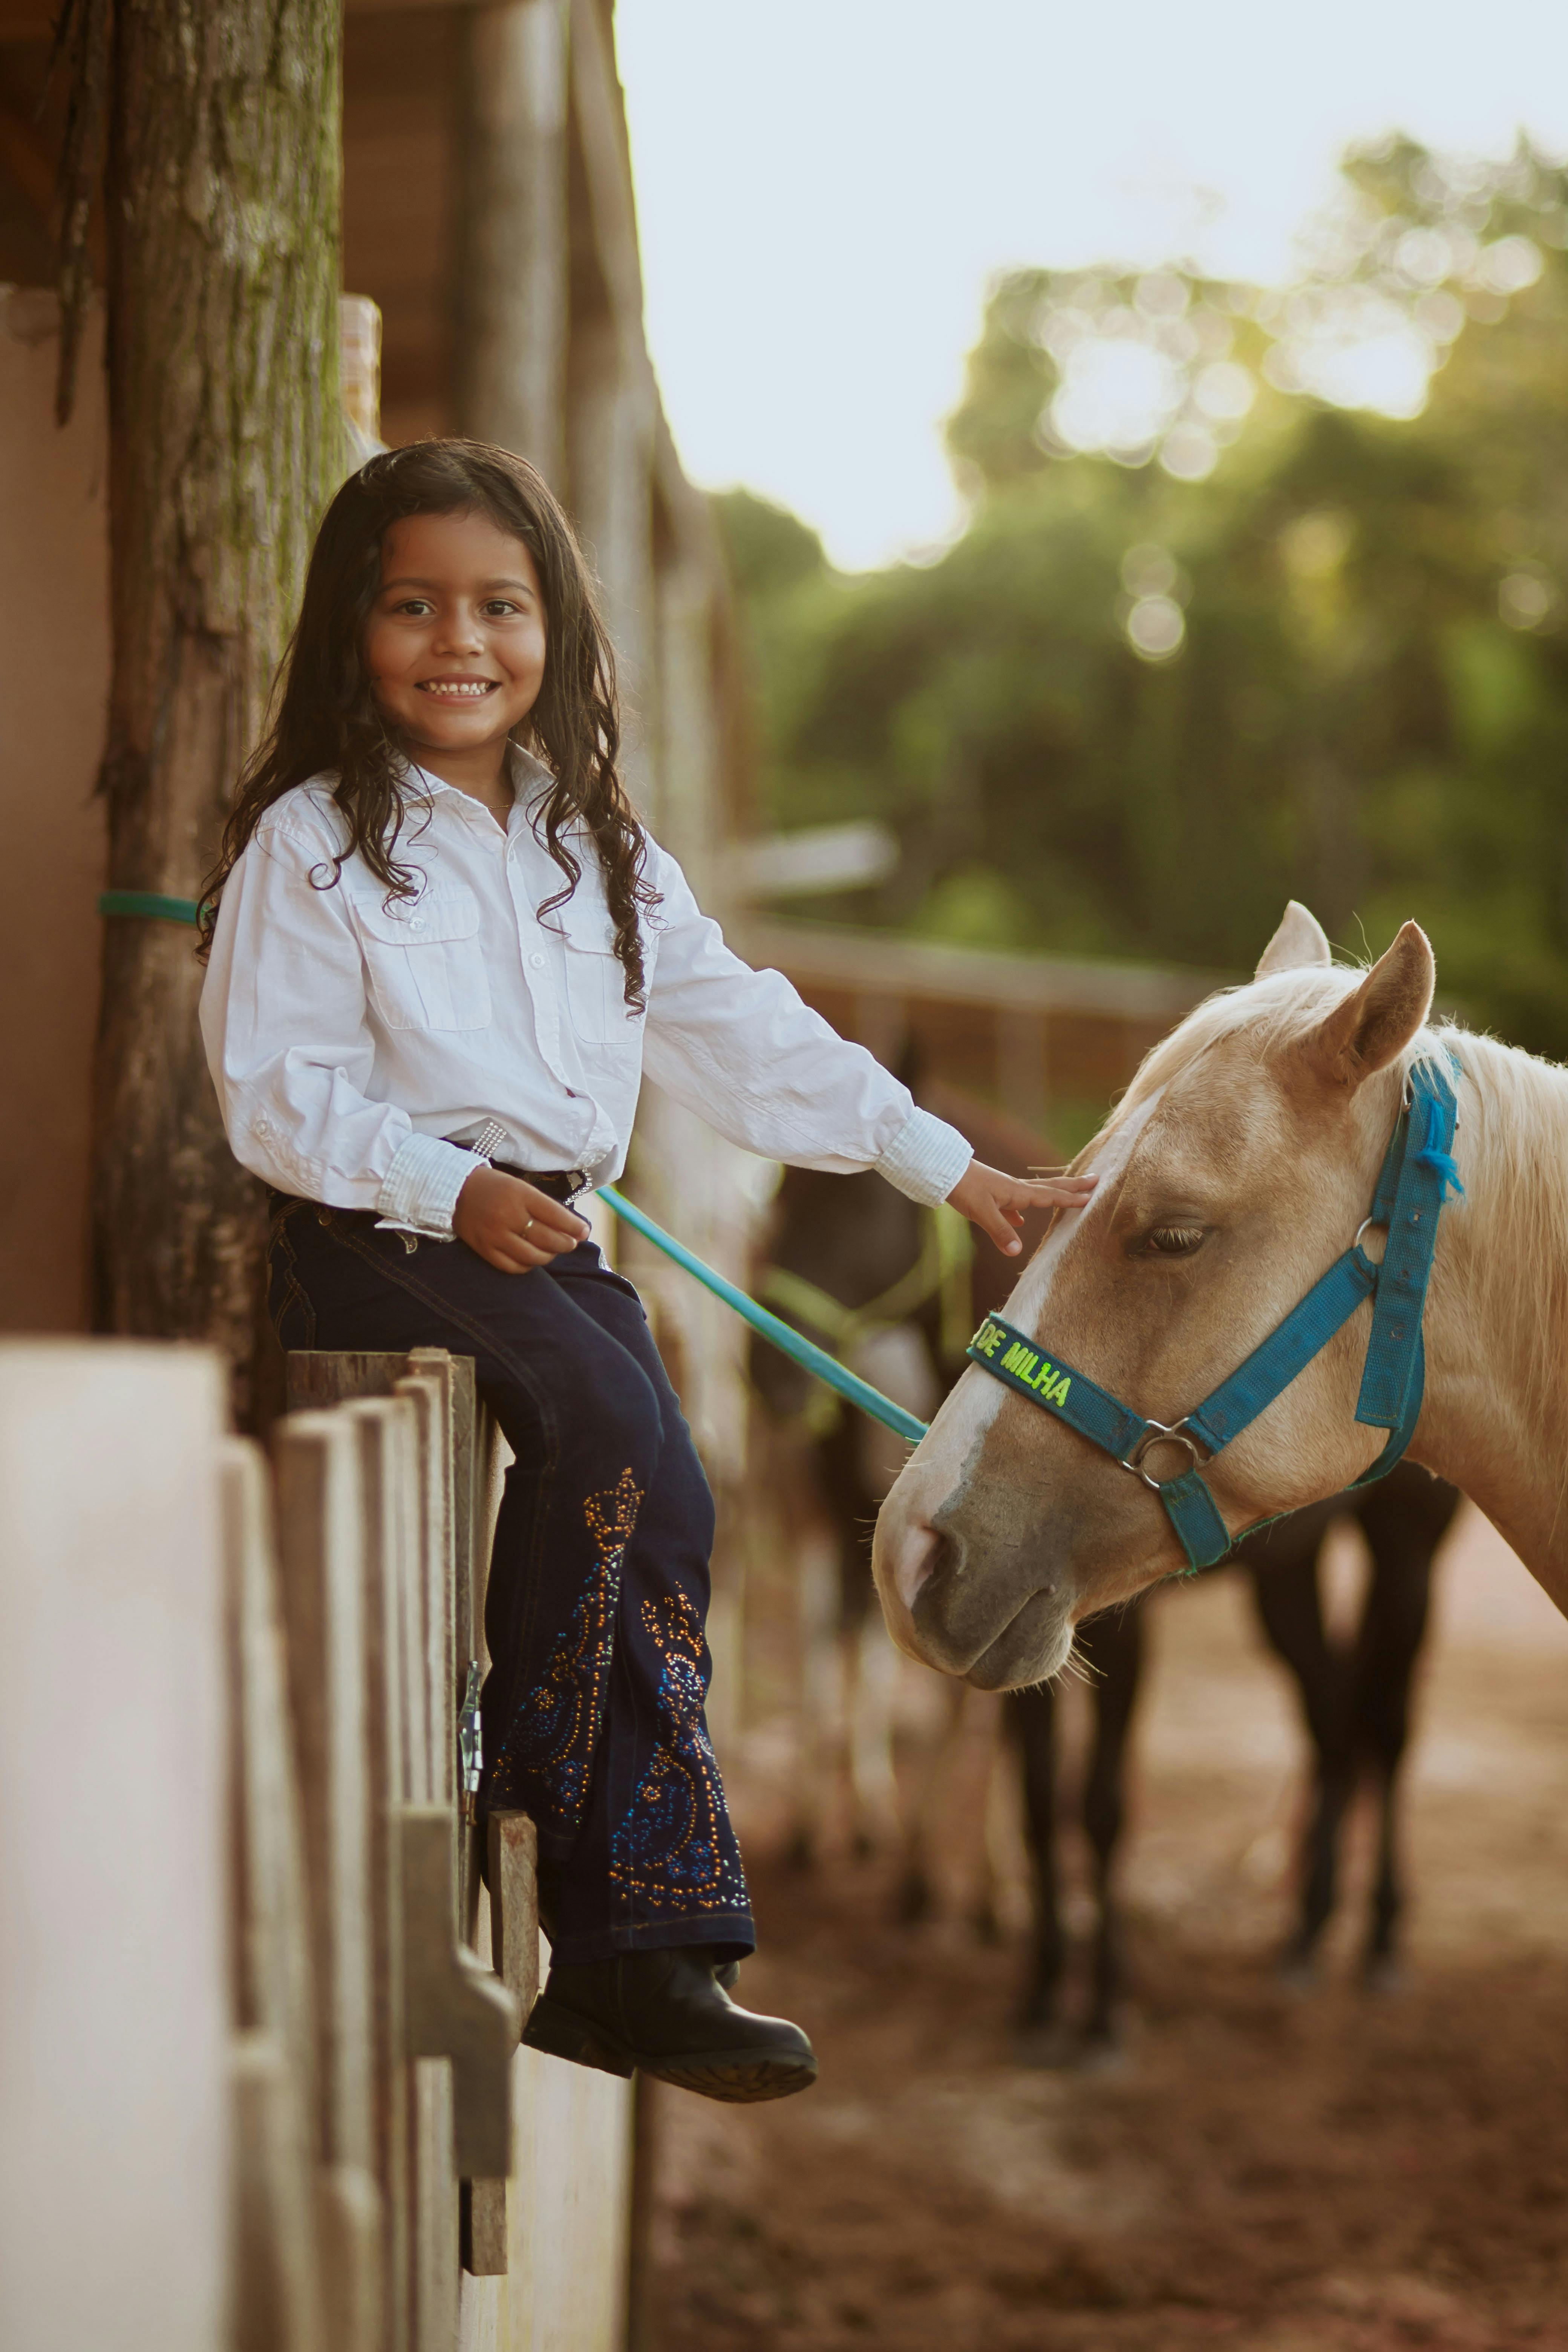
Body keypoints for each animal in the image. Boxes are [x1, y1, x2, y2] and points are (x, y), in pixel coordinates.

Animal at [752, 1086, 1467, 2060]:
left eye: (859, 1201)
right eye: (784, 1197)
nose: (762, 1377)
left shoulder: (1119, 1636)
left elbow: (1098, 1806)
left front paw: (1100, 2008)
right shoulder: (1015, 1626)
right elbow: (1035, 1800)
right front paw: (1042, 1986)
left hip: (1405, 1560)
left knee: (1385, 1728)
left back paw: (1381, 1936)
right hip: (1287, 1581)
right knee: (1330, 1717)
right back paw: (1305, 1932)